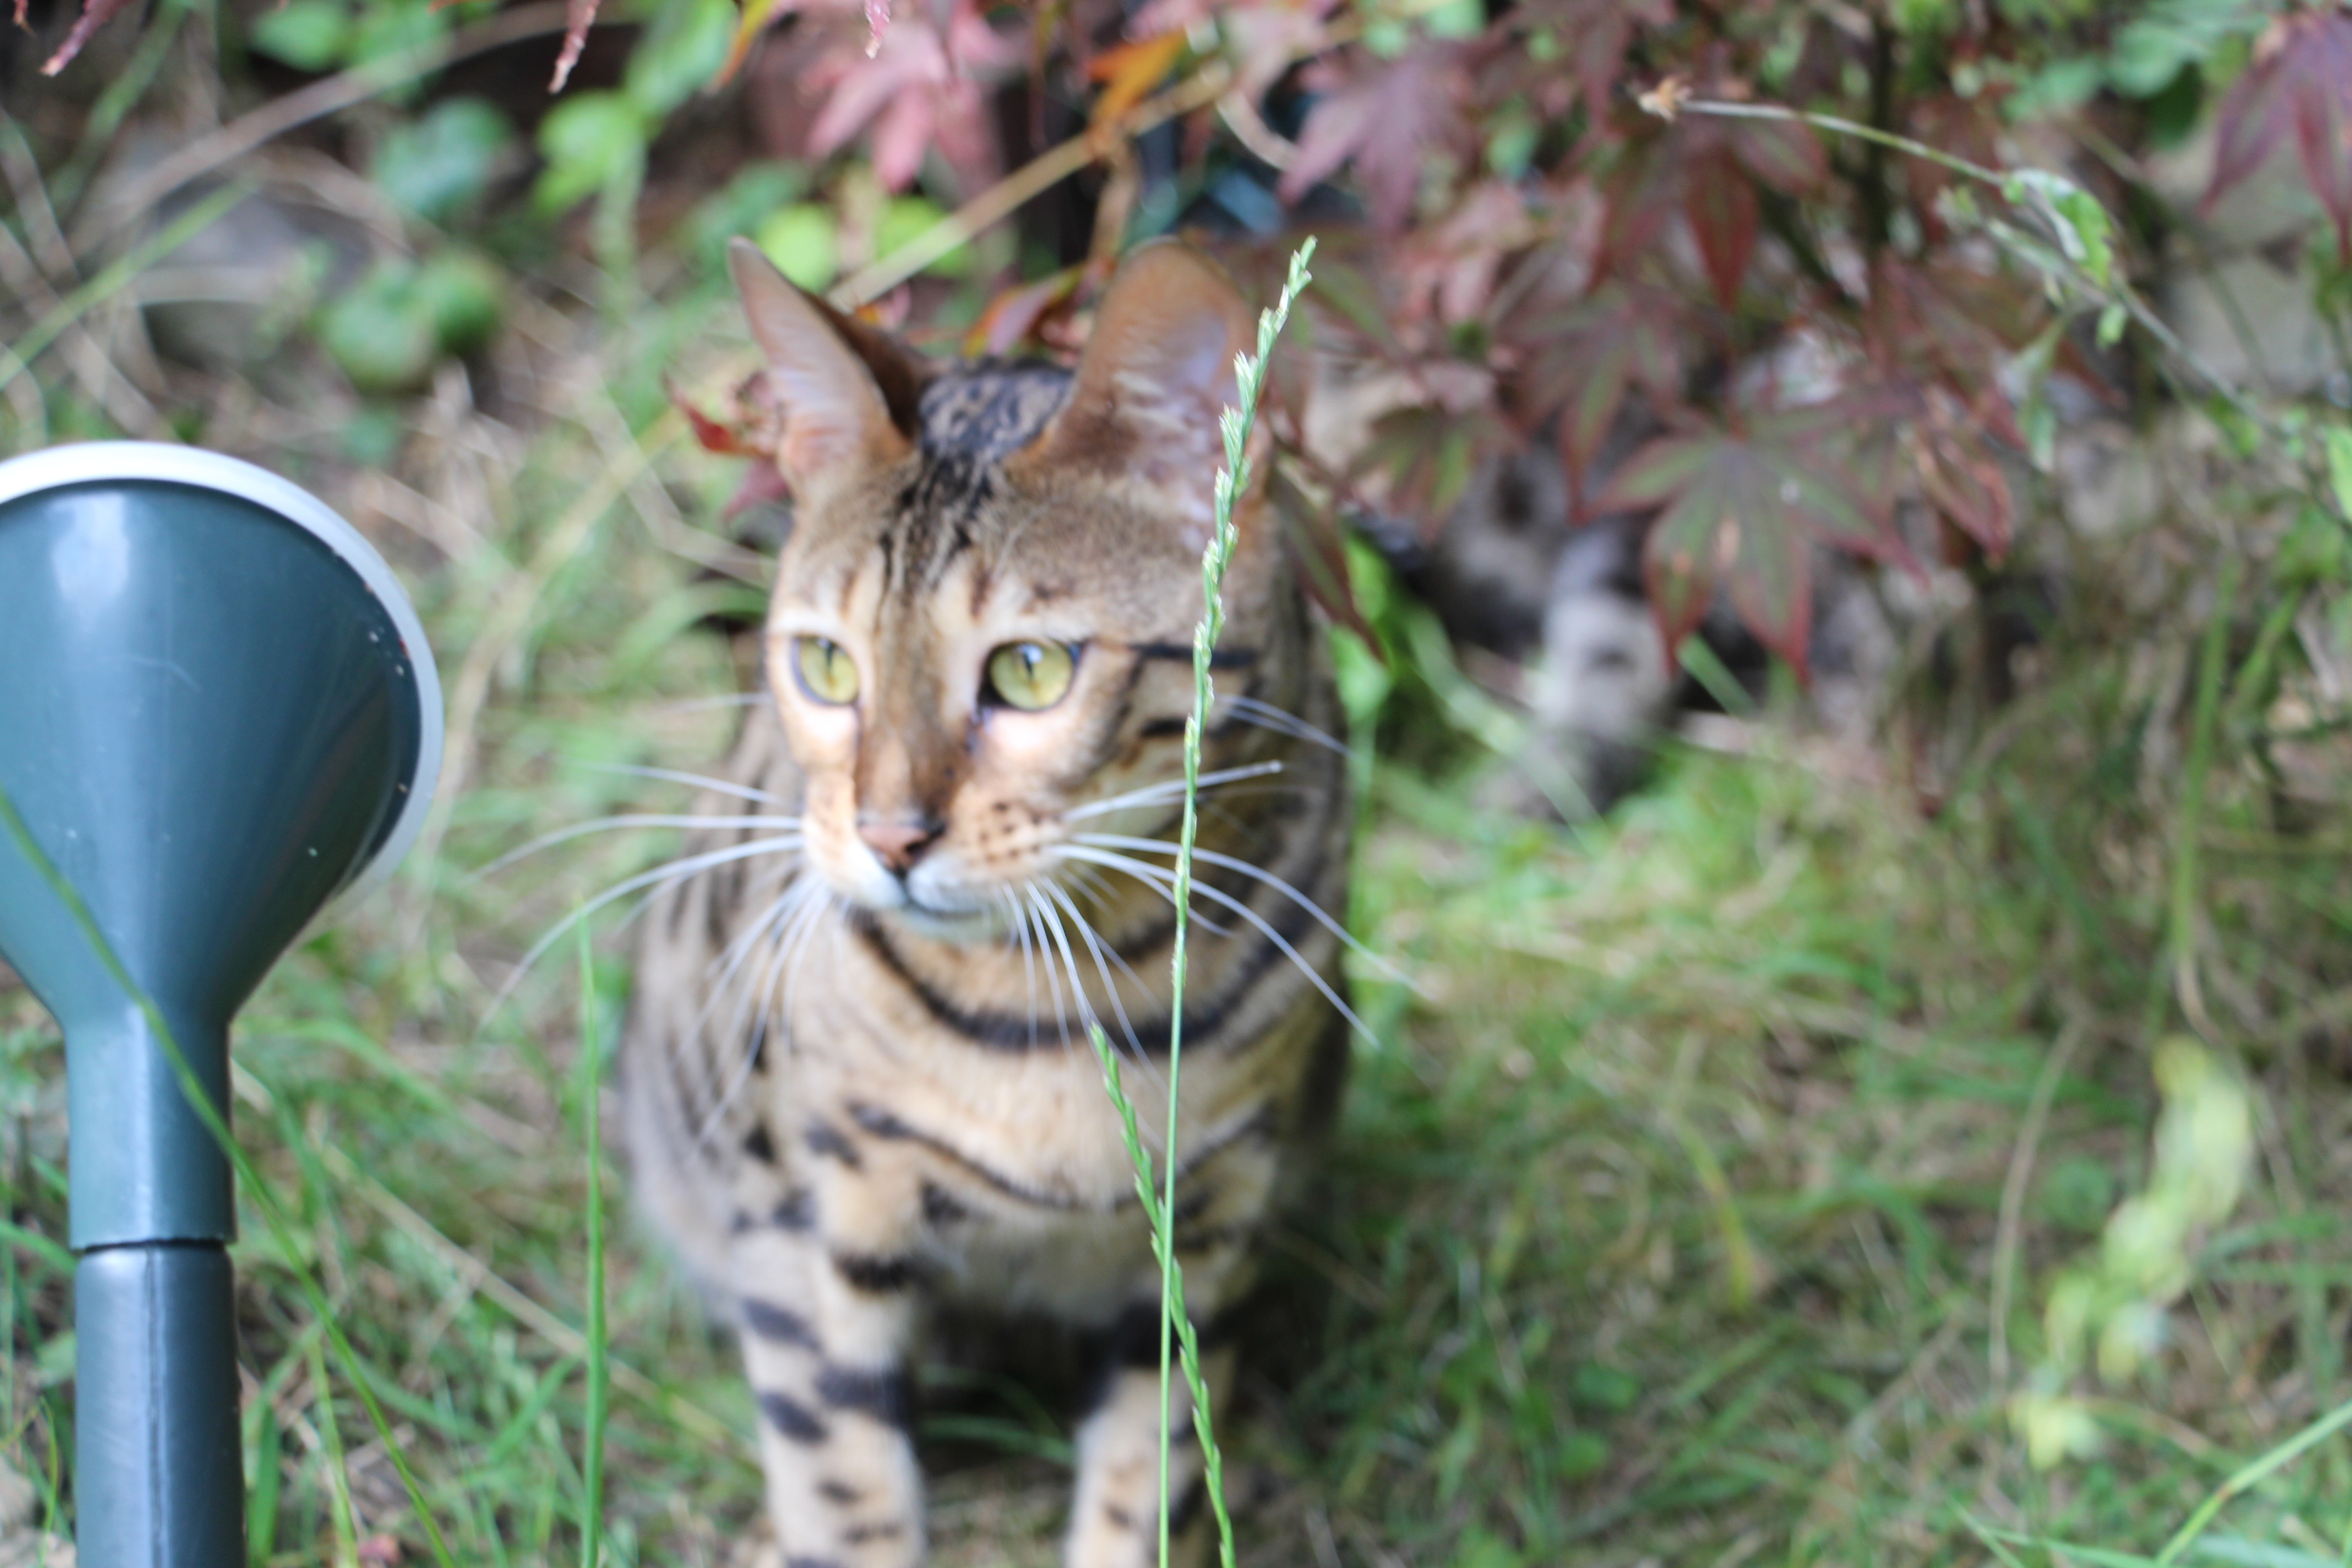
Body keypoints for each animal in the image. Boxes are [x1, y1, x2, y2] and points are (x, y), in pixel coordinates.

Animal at [620, 238, 1355, 1568]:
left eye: (1030, 671)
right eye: (826, 665)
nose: (888, 837)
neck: (1054, 1002)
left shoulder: (1204, 1230)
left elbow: (1150, 1479)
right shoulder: (804, 1214)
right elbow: (842, 1485)